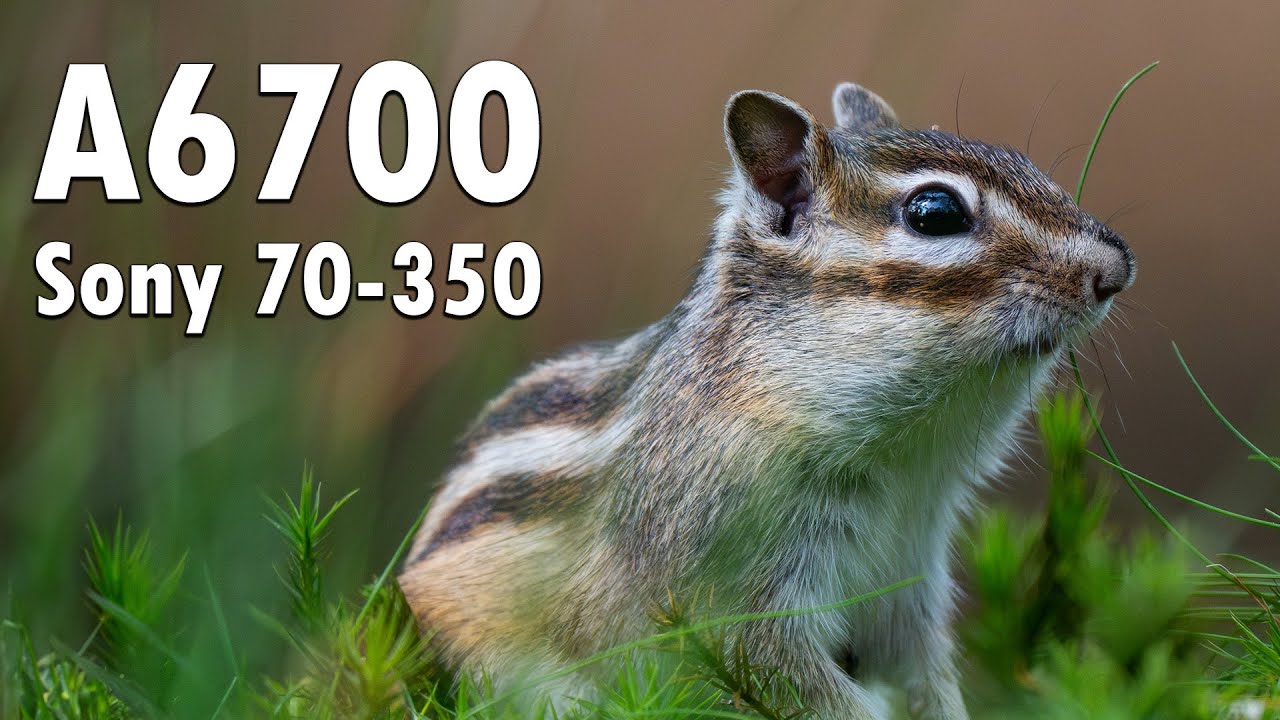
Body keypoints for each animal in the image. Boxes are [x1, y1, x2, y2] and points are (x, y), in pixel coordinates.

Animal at [398, 82, 1135, 719]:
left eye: (1027, 163)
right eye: (936, 212)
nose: (1117, 268)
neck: (905, 461)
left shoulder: (910, 583)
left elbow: (924, 677)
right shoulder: (728, 597)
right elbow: (797, 683)